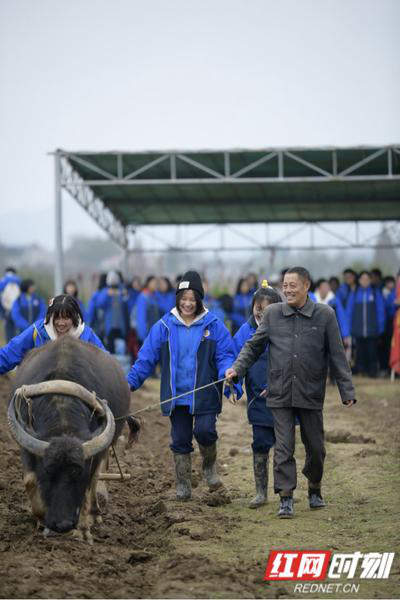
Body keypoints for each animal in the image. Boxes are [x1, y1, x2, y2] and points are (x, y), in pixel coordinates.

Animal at [6, 336, 131, 540]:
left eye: (76, 471)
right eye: (49, 471)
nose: (63, 524)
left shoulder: (93, 457)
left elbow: (88, 485)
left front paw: (82, 530)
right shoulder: (26, 446)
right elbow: (30, 480)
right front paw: (42, 520)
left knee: (95, 480)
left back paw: (94, 514)